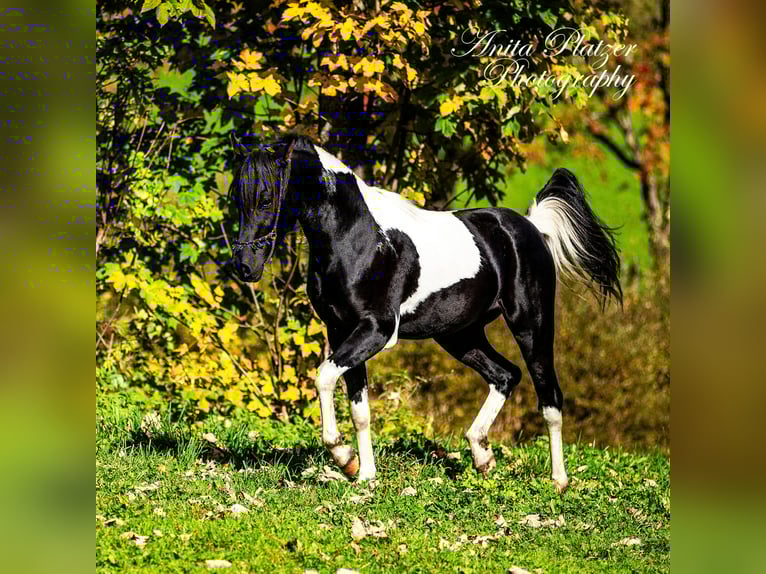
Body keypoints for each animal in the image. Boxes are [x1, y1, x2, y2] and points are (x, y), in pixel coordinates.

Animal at [228, 134, 621, 493]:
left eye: (266, 197)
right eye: (236, 198)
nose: (245, 267)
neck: (358, 240)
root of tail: (531, 226)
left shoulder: (376, 330)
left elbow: (323, 377)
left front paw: (343, 456)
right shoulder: (341, 331)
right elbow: (360, 409)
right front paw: (364, 474)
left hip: (531, 325)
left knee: (549, 395)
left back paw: (558, 481)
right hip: (460, 335)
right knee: (506, 375)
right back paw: (482, 457)